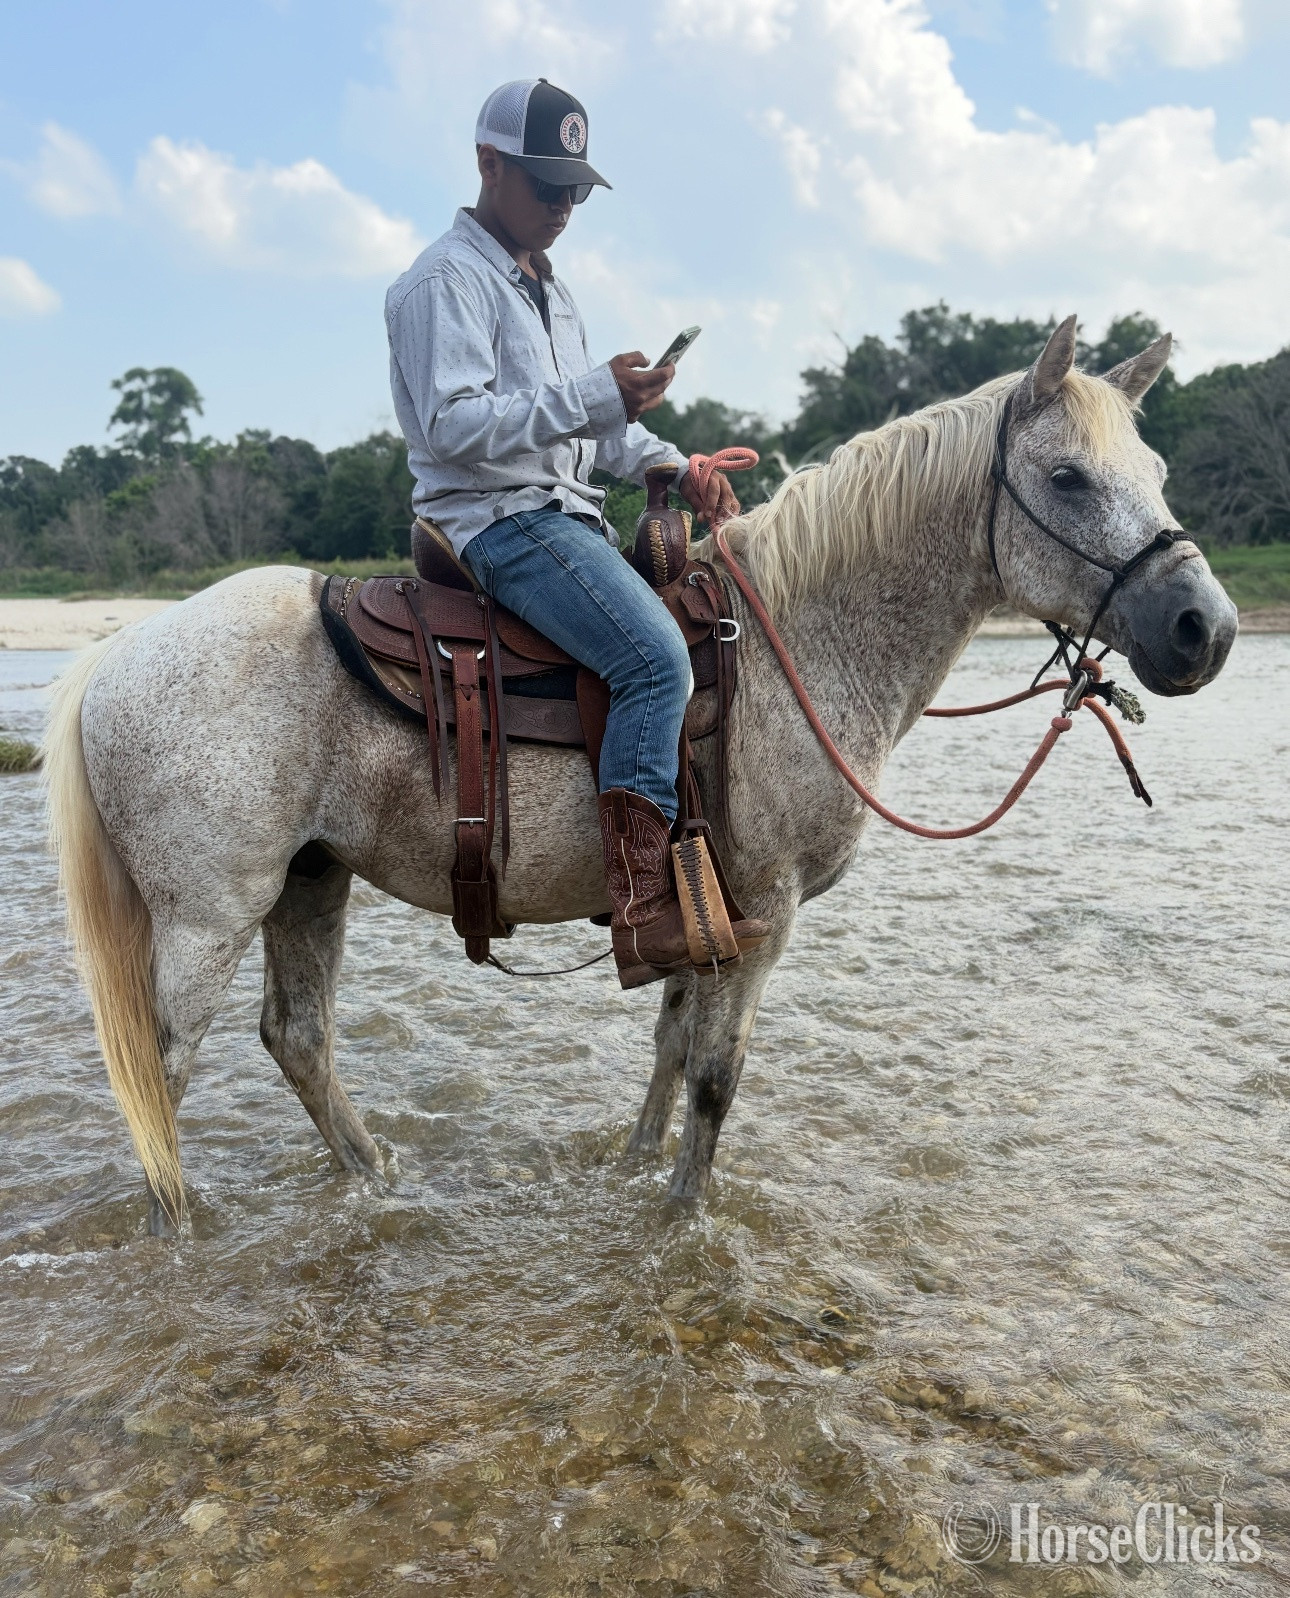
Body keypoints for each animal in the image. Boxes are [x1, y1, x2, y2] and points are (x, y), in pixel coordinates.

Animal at [43, 318, 1237, 1237]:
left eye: (1157, 476)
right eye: (1066, 477)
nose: (1206, 629)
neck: (796, 645)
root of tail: (118, 651)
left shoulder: (696, 900)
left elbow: (669, 1047)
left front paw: (633, 1174)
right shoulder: (765, 910)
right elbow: (717, 1075)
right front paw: (683, 1222)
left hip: (309, 880)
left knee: (297, 1037)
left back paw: (377, 1178)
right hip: (210, 910)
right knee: (159, 1071)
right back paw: (178, 1234)